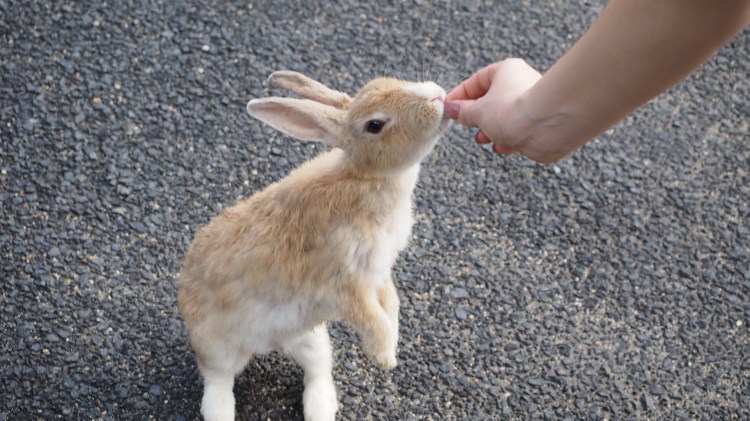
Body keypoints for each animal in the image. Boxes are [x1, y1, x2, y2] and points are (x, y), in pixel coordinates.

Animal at [177, 70, 451, 421]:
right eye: (374, 125)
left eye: (386, 80)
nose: (438, 97)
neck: (365, 177)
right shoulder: (345, 285)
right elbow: (372, 319)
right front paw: (384, 357)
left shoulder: (378, 273)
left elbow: (391, 304)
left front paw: (390, 345)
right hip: (217, 348)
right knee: (218, 381)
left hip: (310, 337)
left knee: (317, 370)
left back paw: (321, 409)